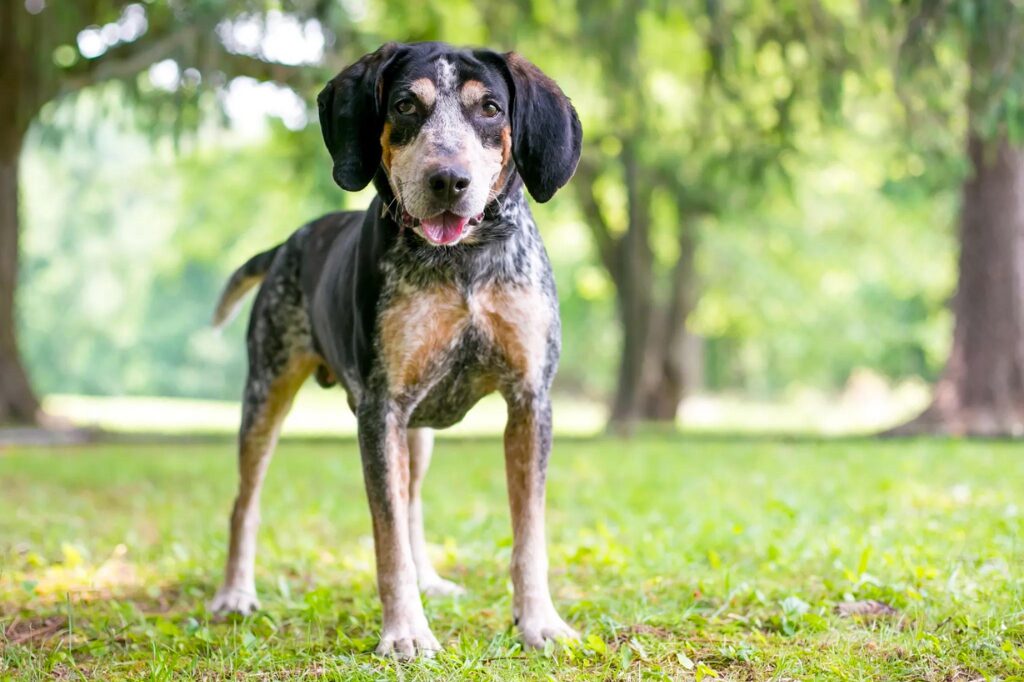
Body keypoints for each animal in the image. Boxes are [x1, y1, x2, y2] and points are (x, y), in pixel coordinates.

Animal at [205, 39, 585, 655]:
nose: (448, 180)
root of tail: (287, 244)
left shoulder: (531, 402)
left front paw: (540, 622)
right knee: (246, 503)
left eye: (490, 109)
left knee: (412, 505)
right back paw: (235, 593)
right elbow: (387, 542)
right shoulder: (380, 408)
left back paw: (431, 579)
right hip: (267, 396)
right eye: (406, 105)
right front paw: (405, 631)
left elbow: (529, 536)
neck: (463, 263)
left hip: (418, 431)